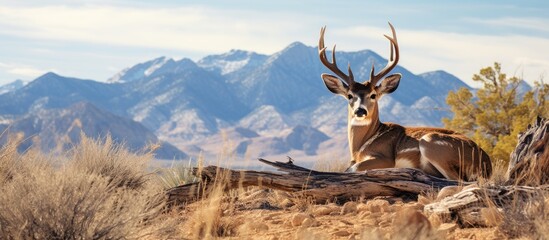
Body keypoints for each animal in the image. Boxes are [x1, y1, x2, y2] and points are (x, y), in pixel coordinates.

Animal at [316, 23, 492, 180]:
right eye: (349, 95)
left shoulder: (385, 158)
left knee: (457, 180)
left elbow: (350, 169)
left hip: (430, 142)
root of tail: (486, 165)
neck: (360, 147)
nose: (360, 110)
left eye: (373, 95)